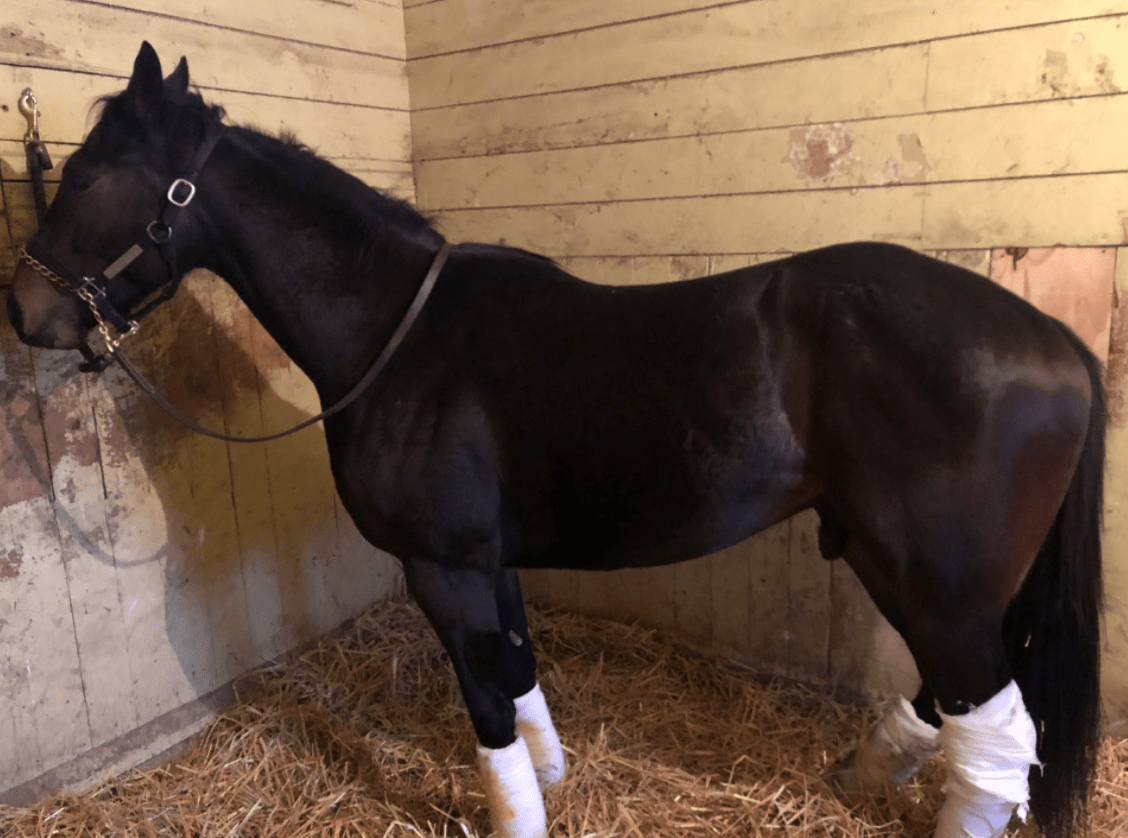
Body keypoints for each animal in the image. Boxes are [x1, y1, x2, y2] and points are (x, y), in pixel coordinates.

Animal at [7, 42, 1105, 838]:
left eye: (90, 177)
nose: (26, 312)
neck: (399, 334)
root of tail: (1053, 340)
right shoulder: (489, 561)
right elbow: (522, 674)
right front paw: (555, 778)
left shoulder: (441, 565)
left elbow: (486, 700)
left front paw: (516, 813)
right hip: (933, 577)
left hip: (932, 577)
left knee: (995, 721)